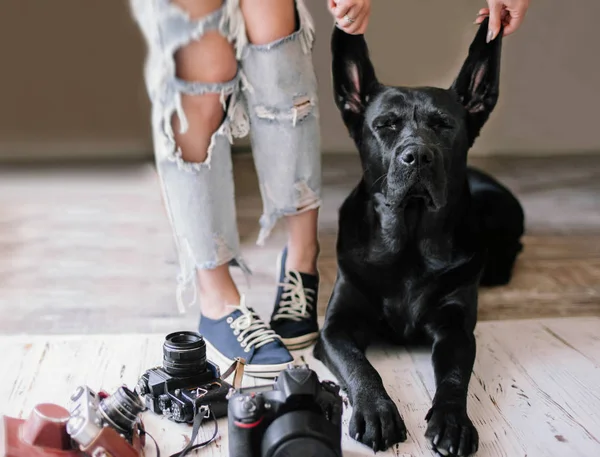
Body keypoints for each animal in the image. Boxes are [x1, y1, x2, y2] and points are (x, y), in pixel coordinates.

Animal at [314, 18, 524, 456]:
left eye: (444, 125)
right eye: (385, 125)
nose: (417, 156)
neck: (408, 242)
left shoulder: (456, 329)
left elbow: (455, 377)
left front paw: (454, 422)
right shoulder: (335, 328)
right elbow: (360, 365)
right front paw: (376, 410)